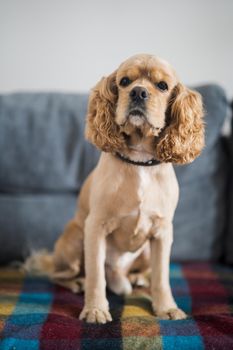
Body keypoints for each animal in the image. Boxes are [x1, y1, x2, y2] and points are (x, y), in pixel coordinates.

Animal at [25, 53, 204, 324]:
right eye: (125, 81)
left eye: (162, 86)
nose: (138, 92)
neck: (140, 160)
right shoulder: (95, 227)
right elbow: (96, 276)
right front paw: (95, 309)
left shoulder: (163, 232)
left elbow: (161, 277)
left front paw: (166, 307)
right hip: (75, 238)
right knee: (60, 275)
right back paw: (77, 283)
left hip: (144, 252)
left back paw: (137, 278)